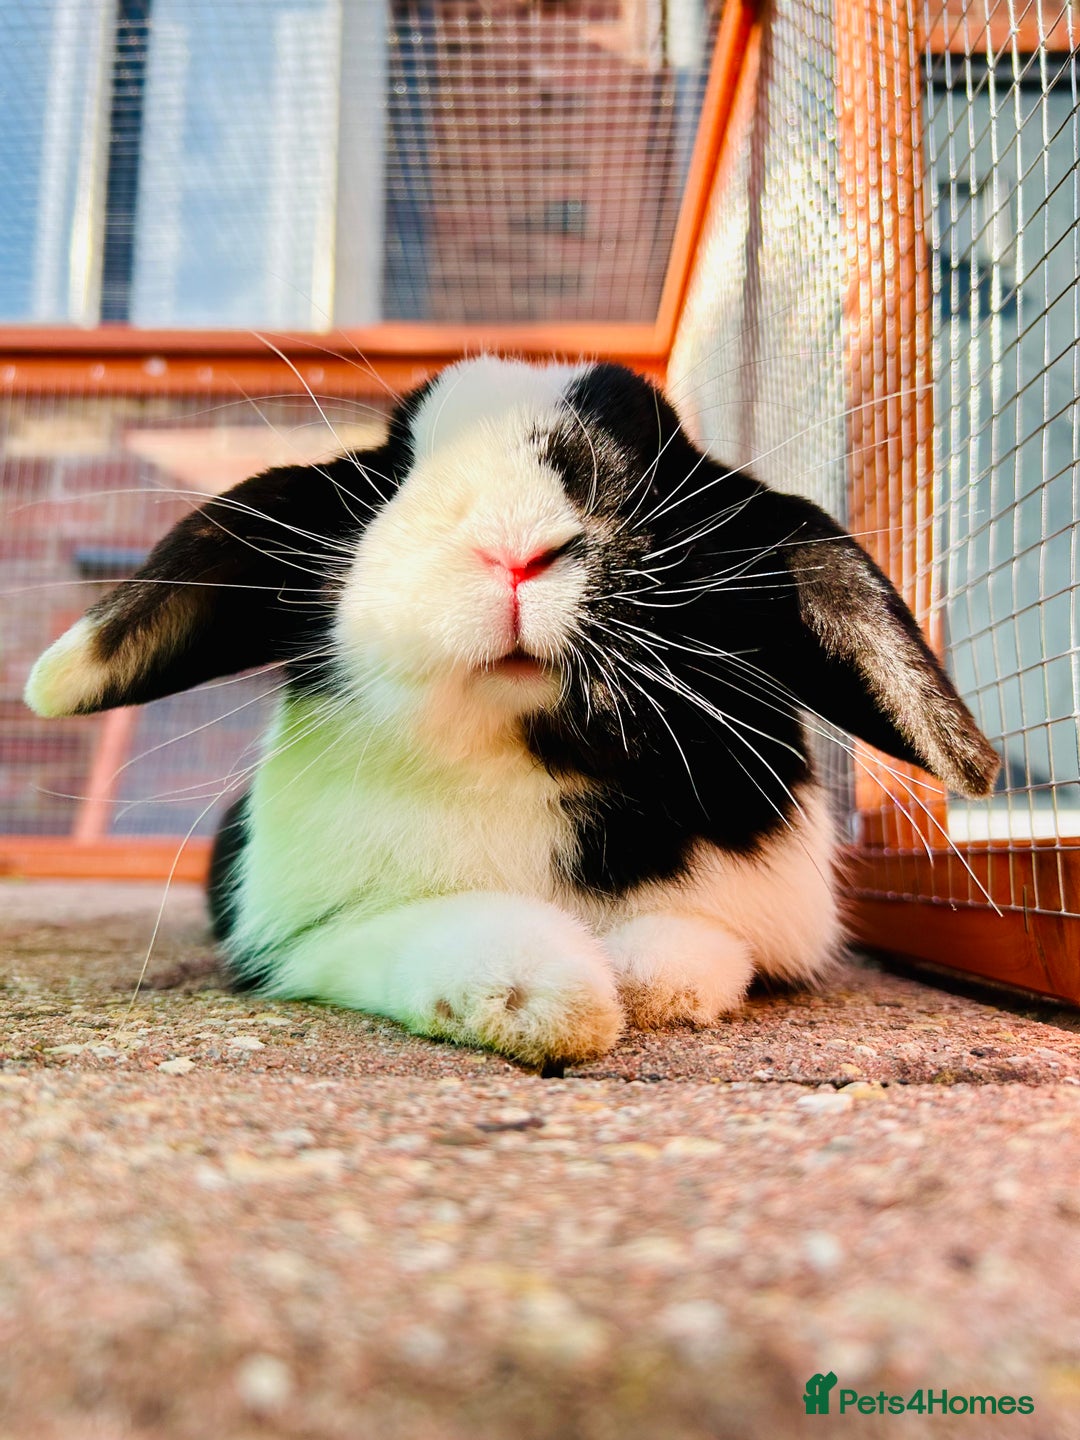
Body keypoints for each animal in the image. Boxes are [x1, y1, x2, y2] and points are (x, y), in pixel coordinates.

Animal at [25, 358, 999, 1066]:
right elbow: (439, 930)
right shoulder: (304, 938)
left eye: (657, 468)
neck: (524, 756)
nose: (515, 547)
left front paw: (636, 977)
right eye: (399, 470)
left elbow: (698, 948)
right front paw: (547, 995)